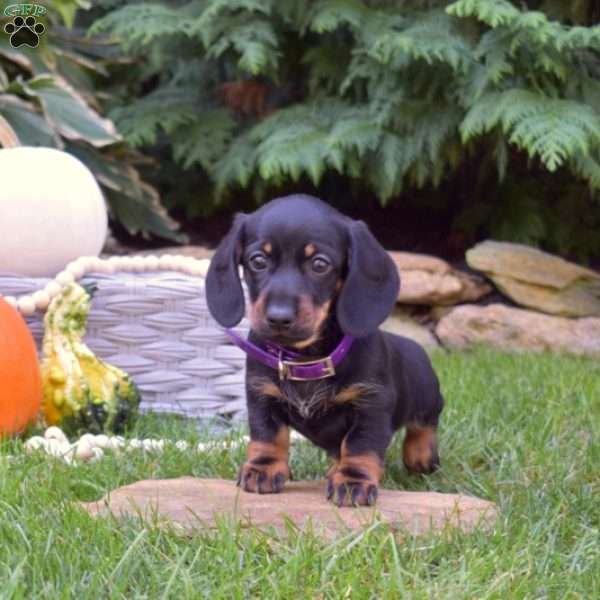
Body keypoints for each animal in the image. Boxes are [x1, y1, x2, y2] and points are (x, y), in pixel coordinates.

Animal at [206, 196, 446, 506]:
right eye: (257, 260)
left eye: (319, 264)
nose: (278, 318)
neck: (307, 359)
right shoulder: (261, 395)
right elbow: (267, 435)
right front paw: (263, 468)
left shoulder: (372, 403)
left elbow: (360, 444)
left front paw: (354, 481)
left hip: (426, 393)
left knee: (426, 421)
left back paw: (420, 455)